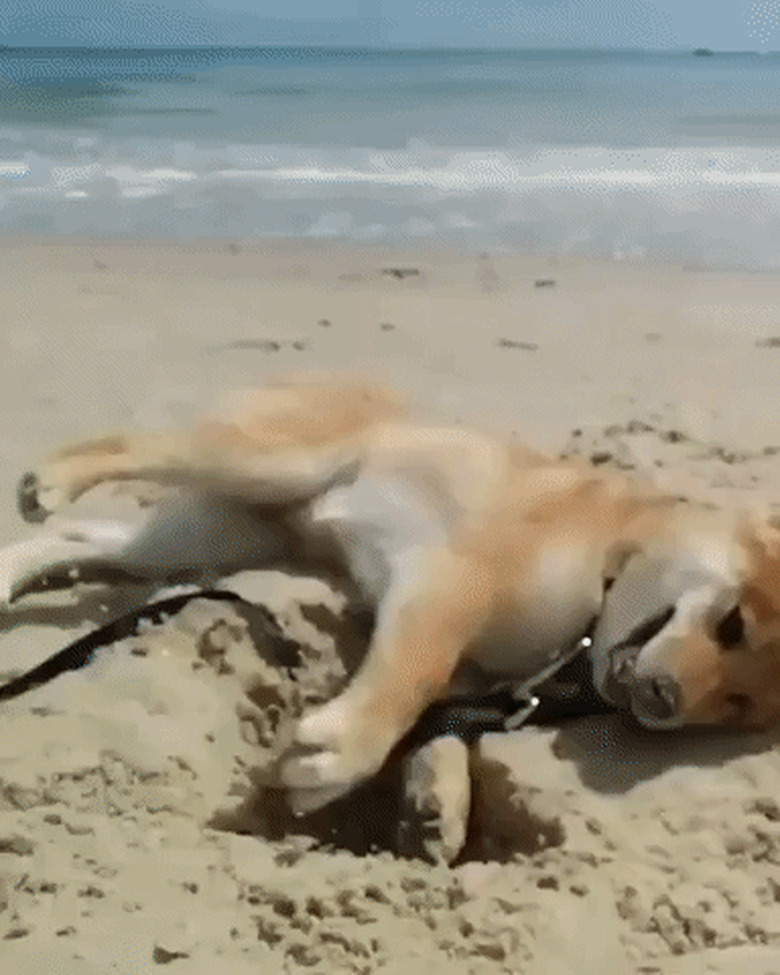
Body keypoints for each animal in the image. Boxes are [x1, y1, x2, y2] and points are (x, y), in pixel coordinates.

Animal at [4, 372, 780, 816]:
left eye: (736, 706)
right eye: (733, 623)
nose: (664, 701)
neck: (610, 560)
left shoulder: (473, 669)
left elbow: (440, 727)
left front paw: (437, 801)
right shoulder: (449, 584)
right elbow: (411, 677)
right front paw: (342, 750)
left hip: (214, 538)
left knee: (86, 539)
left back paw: (11, 569)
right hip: (262, 462)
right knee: (134, 447)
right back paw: (53, 479)